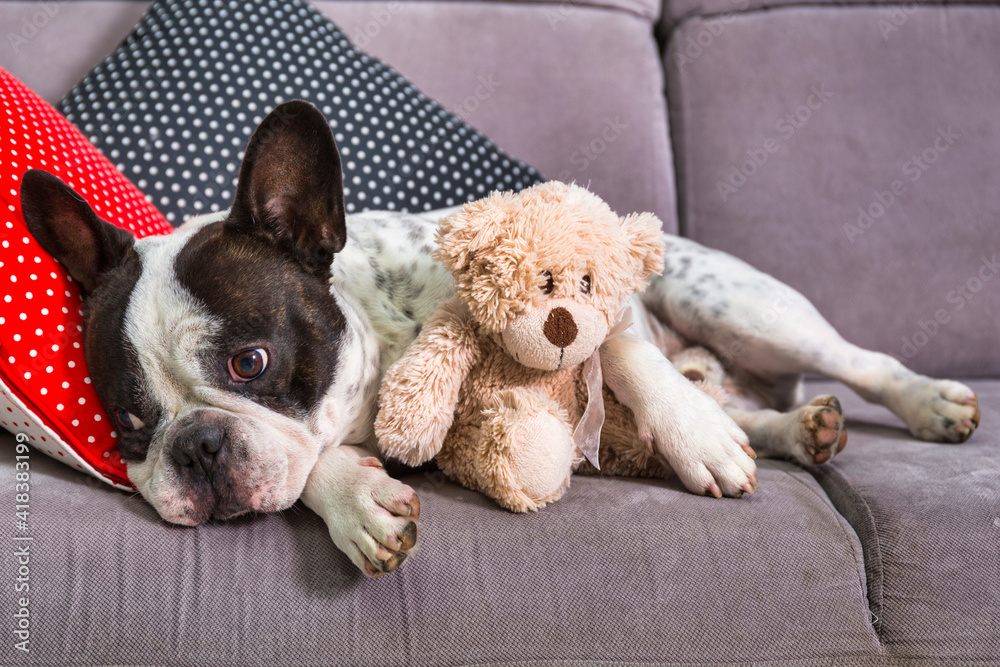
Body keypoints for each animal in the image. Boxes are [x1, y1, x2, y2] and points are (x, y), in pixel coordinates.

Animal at [19, 102, 980, 576]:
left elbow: (615, 348)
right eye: (127, 424)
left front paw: (693, 439)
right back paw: (796, 429)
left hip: (736, 303)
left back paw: (921, 403)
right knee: (752, 404)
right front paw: (356, 502)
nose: (198, 448)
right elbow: (311, 462)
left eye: (248, 361)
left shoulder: (568, 298)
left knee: (857, 362)